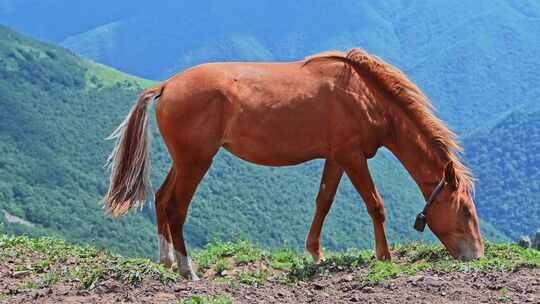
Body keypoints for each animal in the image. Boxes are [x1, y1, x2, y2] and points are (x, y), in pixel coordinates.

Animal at [101, 48, 486, 280]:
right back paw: (187, 269)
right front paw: (385, 256)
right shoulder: (352, 157)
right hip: (196, 161)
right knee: (176, 207)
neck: (365, 96)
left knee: (161, 199)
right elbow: (375, 205)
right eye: (466, 211)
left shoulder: (336, 158)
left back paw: (166, 260)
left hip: (184, 161)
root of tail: (166, 86)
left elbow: (323, 202)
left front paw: (314, 253)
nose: (477, 255)